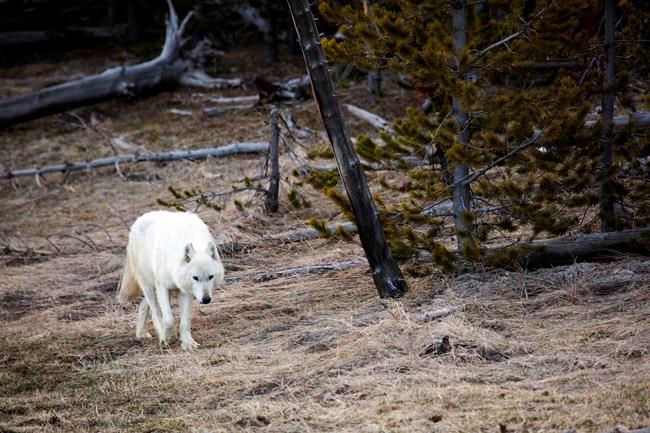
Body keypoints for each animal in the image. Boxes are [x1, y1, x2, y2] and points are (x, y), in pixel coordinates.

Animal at [118, 210, 225, 351]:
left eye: (210, 277)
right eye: (195, 277)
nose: (206, 299)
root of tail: (141, 218)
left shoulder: (185, 291)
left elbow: (185, 321)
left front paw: (188, 343)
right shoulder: (163, 287)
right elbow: (169, 318)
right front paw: (169, 338)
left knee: (143, 304)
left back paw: (142, 333)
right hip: (148, 285)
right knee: (155, 312)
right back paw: (161, 335)